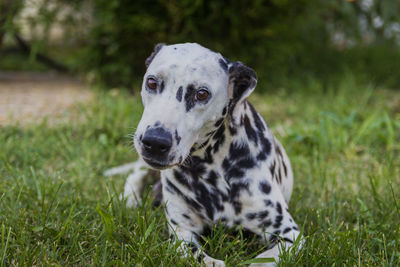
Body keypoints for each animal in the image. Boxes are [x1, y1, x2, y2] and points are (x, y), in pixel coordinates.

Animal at [108, 43, 302, 266]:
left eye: (201, 94)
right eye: (152, 82)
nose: (155, 142)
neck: (209, 169)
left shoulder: (290, 235)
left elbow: (263, 261)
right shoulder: (182, 232)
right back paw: (129, 201)